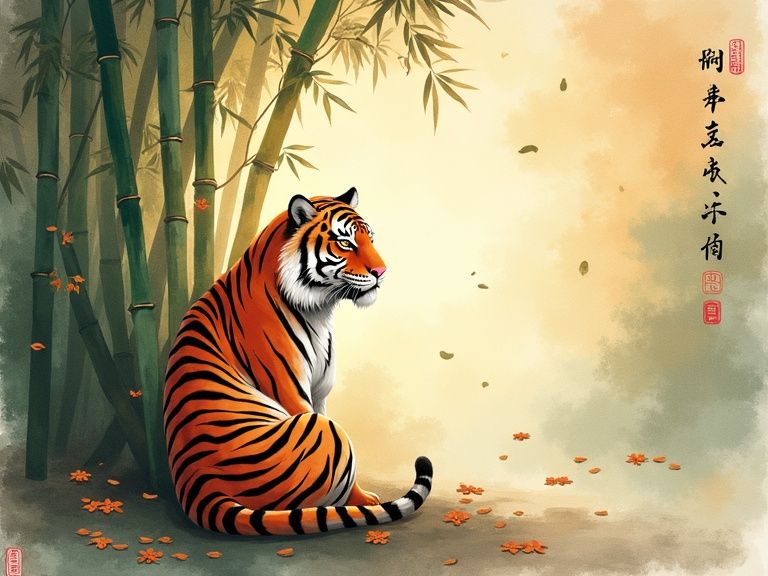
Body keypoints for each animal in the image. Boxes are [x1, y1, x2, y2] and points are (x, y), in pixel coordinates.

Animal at [163, 187, 433, 536]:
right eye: (346, 243)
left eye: (371, 239)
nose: (381, 272)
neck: (320, 310)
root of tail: (201, 484)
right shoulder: (291, 391)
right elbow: (348, 473)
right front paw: (365, 501)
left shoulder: (319, 394)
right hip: (326, 432)